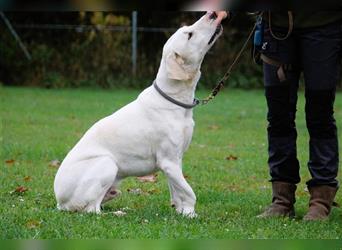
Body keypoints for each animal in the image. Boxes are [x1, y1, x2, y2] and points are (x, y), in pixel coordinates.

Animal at [53, 12, 223, 218]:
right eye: (189, 34)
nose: (212, 13)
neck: (173, 100)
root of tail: (60, 203)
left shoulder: (175, 161)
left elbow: (177, 191)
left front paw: (181, 212)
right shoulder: (169, 162)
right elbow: (189, 191)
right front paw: (191, 215)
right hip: (107, 164)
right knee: (92, 210)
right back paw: (118, 214)